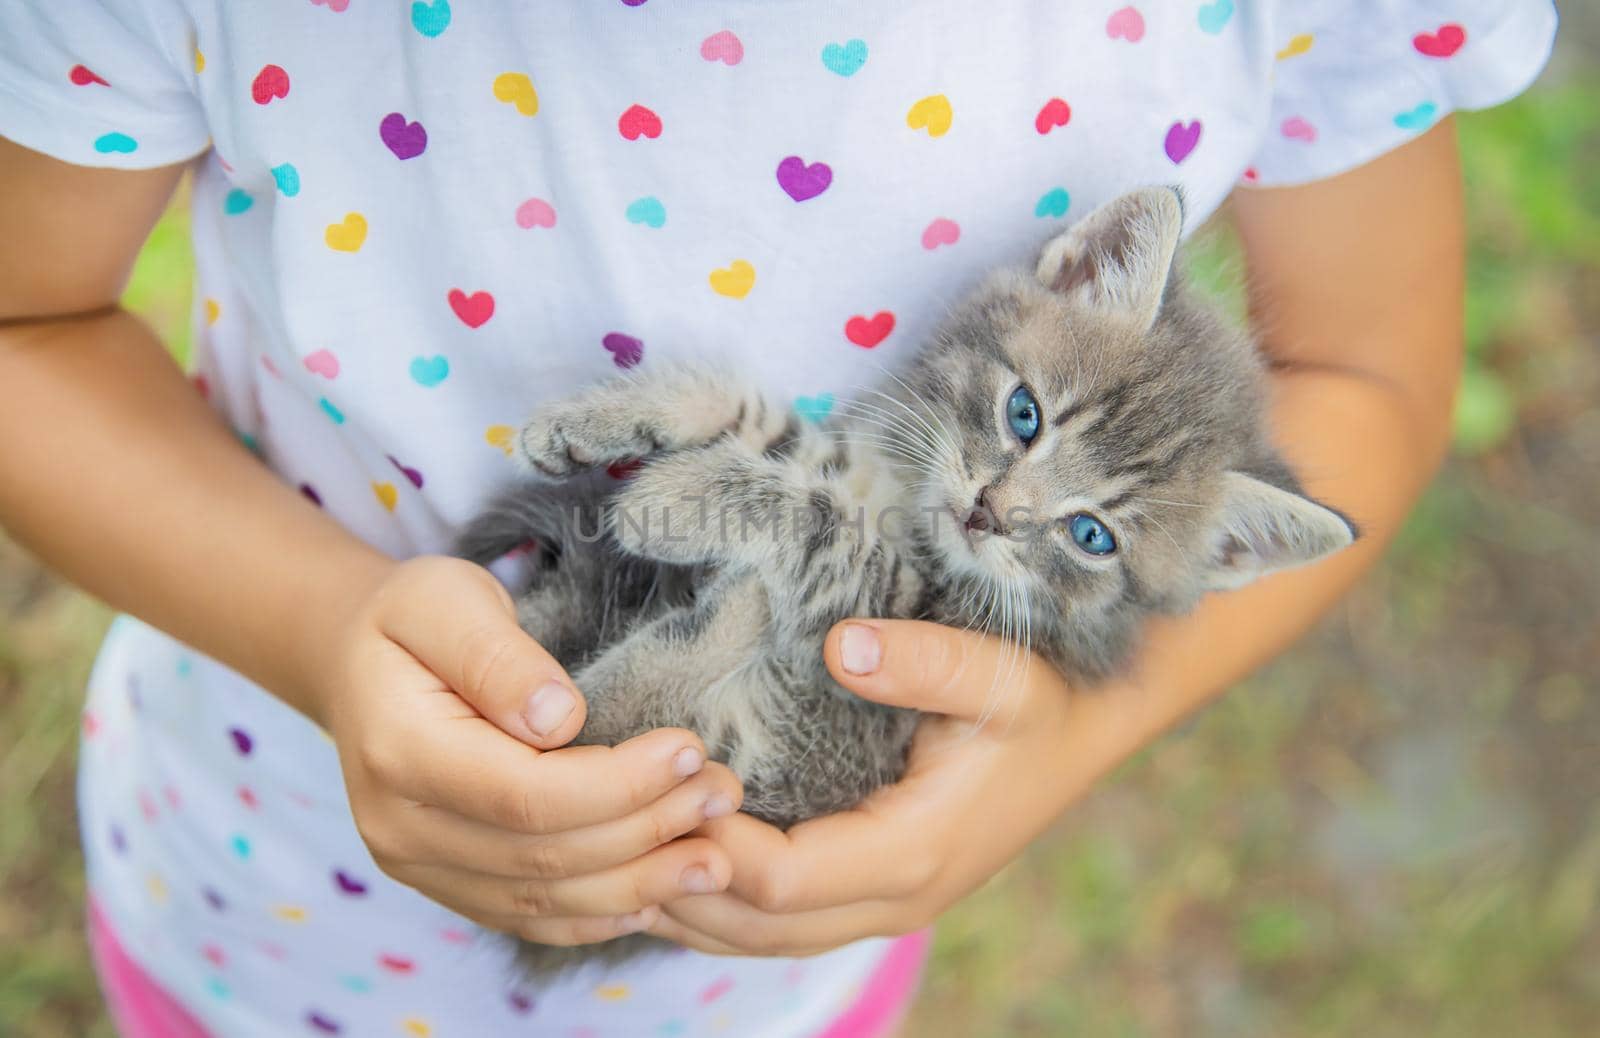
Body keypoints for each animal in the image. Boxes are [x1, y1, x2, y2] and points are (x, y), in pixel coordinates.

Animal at [457, 186, 1356, 972]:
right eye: (1024, 413)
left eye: (1091, 536)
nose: (991, 513)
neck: (911, 510)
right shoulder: (848, 462)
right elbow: (765, 424)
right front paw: (603, 419)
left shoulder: (900, 610)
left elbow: (826, 525)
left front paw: (683, 498)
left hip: (796, 750)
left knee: (609, 722)